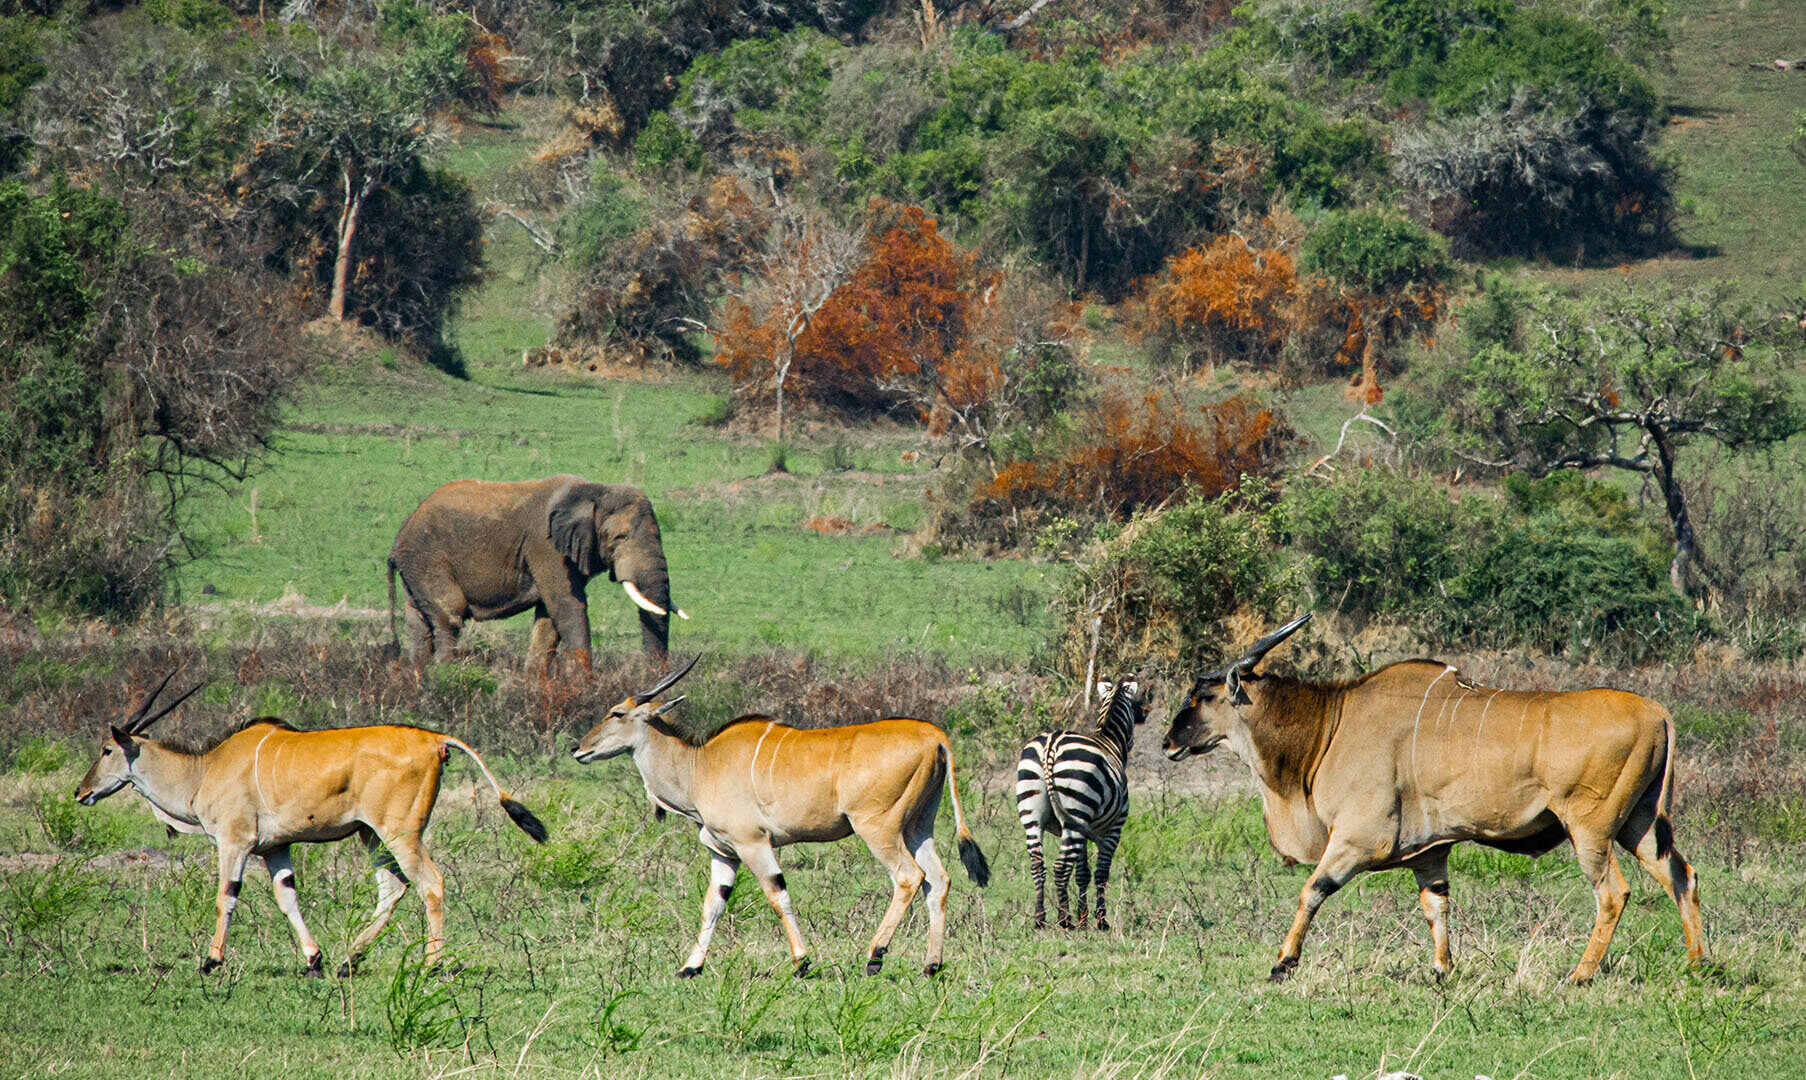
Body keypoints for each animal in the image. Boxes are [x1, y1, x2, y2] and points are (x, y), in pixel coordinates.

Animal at [72, 671, 549, 975]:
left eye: (106, 750)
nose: (81, 792)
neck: (206, 770)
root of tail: (435, 740)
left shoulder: (234, 841)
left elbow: (226, 896)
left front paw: (210, 961)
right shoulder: (274, 849)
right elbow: (288, 899)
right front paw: (313, 961)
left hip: (399, 833)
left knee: (430, 883)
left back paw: (432, 967)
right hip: (371, 836)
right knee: (393, 888)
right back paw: (347, 962)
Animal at [386, 476, 682, 671]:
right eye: (621, 538)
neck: (595, 490)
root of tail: (398, 539)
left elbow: (548, 617)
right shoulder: (545, 545)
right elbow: (567, 605)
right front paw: (583, 687)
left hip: (416, 569)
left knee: (418, 622)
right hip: (427, 559)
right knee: (449, 616)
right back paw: (446, 676)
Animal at [570, 661, 996, 982]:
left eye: (617, 713)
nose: (578, 748)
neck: (698, 767)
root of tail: (933, 735)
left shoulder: (753, 844)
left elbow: (777, 894)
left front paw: (802, 962)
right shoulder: (725, 853)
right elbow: (713, 904)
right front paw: (690, 967)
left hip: (878, 828)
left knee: (909, 877)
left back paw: (875, 955)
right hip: (918, 827)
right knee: (938, 880)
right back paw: (931, 965)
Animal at [1018, 686, 1141, 931]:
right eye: (1134, 710)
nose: (1132, 744)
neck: (1108, 742)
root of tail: (1051, 743)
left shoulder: (1083, 830)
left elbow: (1083, 872)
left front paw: (1083, 917)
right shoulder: (1114, 829)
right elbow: (1101, 872)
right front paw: (1100, 920)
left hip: (1034, 811)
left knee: (1038, 863)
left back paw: (1040, 918)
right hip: (1076, 809)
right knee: (1060, 866)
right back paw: (1064, 919)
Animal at [1163, 614, 1697, 989]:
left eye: (1203, 697)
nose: (1168, 742)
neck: (1331, 725)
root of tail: (1657, 711)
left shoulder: (1356, 842)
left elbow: (1312, 891)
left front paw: (1282, 964)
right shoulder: (1430, 854)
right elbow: (1435, 904)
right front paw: (1442, 971)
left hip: (1590, 830)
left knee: (1613, 893)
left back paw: (1580, 975)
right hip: (1639, 825)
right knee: (1681, 875)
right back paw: (1698, 964)